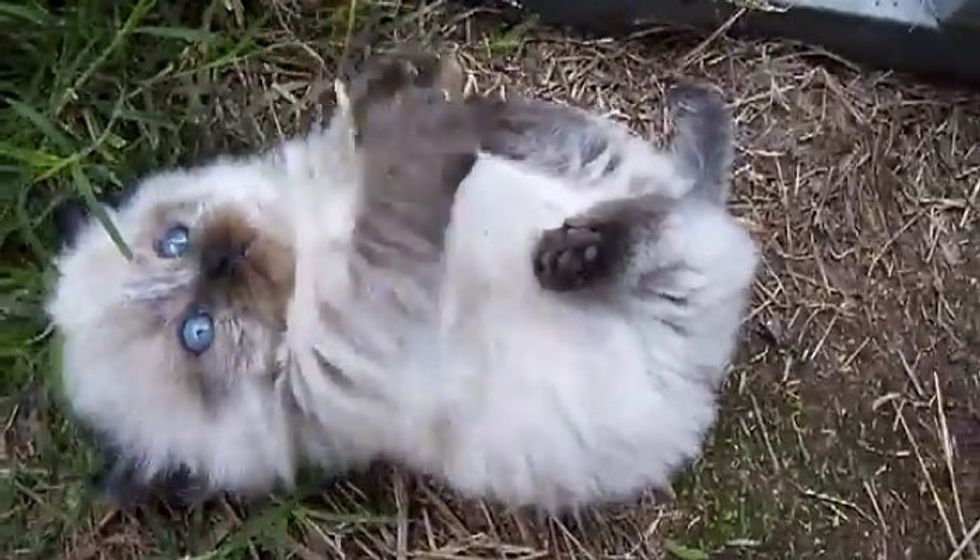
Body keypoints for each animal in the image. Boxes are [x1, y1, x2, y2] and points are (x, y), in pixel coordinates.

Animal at [46, 52, 756, 512]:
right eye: (196, 332)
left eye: (174, 242)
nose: (221, 258)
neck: (307, 259)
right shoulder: (360, 331)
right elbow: (395, 207)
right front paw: (417, 119)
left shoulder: (329, 178)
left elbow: (362, 142)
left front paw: (400, 82)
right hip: (677, 285)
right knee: (669, 227)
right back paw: (573, 255)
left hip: (598, 167)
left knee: (647, 183)